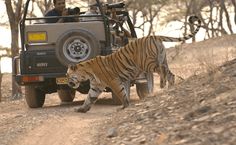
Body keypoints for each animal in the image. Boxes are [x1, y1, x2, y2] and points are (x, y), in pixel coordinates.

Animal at [66, 15, 201, 112]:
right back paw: (170, 88)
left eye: (68, 75)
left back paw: (163, 85)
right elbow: (89, 98)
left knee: (162, 70)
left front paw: (125, 106)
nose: (67, 83)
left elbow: (121, 93)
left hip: (148, 63)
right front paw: (82, 109)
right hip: (162, 60)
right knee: (170, 74)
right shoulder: (96, 86)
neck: (87, 73)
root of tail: (154, 36)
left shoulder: (114, 81)